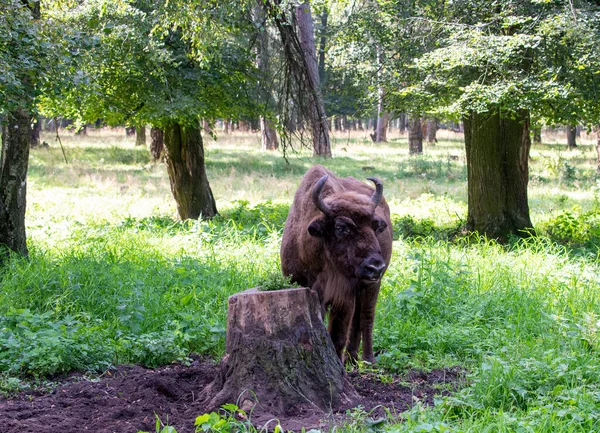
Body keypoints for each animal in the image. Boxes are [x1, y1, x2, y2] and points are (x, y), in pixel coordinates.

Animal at [282, 164, 394, 362]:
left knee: (367, 316)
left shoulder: (343, 297)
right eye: (341, 228)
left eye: (375, 226)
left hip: (373, 285)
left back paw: (368, 359)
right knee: (358, 319)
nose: (375, 267)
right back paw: (352, 358)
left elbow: (338, 337)